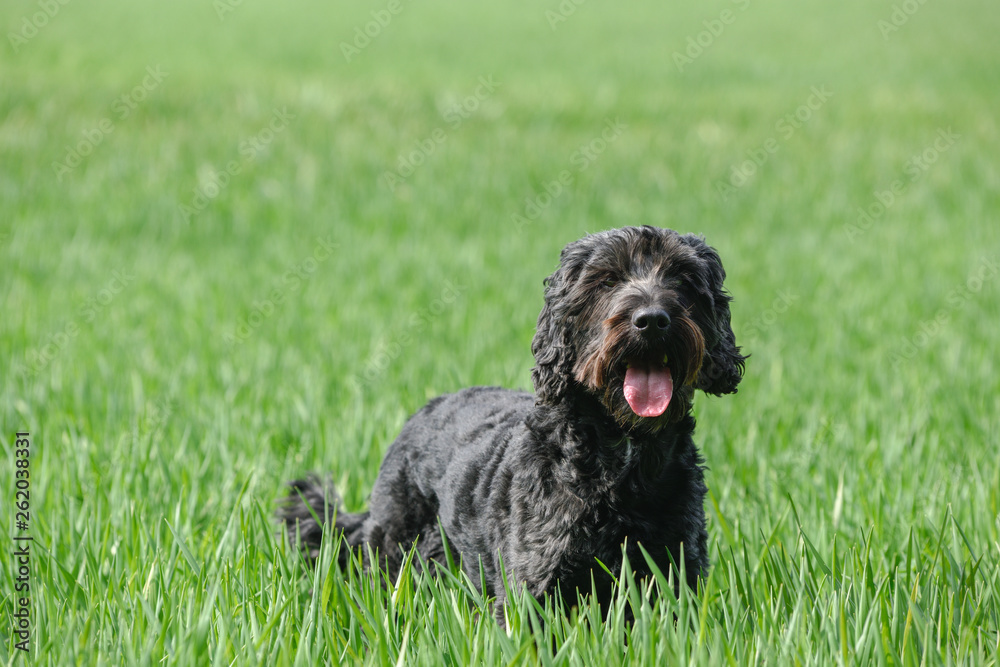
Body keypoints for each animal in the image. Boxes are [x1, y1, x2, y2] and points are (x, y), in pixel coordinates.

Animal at [280, 226, 744, 620]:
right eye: (606, 280)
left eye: (682, 277)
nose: (652, 319)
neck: (623, 456)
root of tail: (423, 410)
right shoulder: (534, 587)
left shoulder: (676, 577)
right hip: (393, 548)